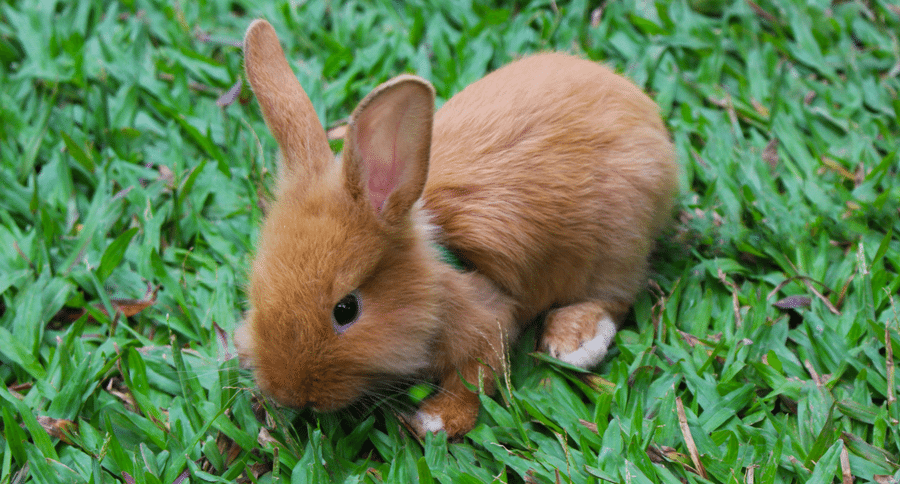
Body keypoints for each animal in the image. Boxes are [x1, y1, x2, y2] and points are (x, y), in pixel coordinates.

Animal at [234, 19, 678, 438]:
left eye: (346, 309)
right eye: (256, 288)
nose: (287, 393)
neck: (435, 278)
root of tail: (646, 114)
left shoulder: (489, 323)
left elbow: (474, 379)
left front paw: (435, 421)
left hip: (616, 244)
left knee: (614, 295)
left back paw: (573, 342)